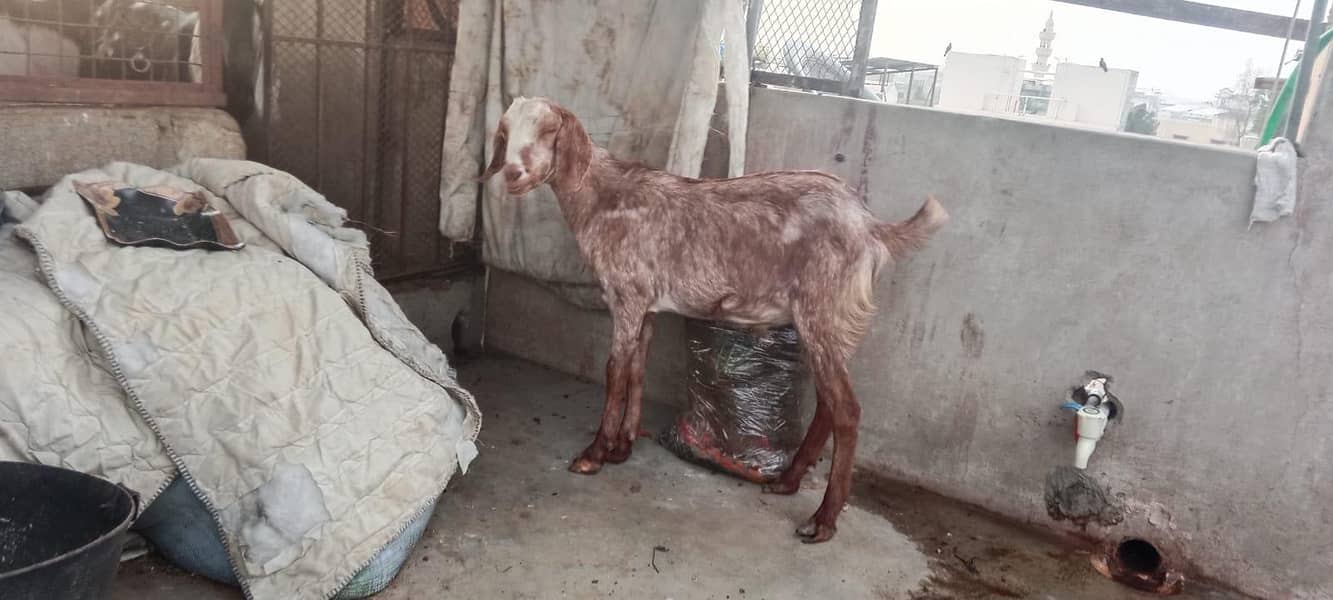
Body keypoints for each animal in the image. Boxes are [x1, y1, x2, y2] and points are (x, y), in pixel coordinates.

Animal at [482, 97, 948, 542]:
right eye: (504, 132)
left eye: (548, 129)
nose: (513, 173)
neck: (601, 196)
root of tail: (871, 226)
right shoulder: (646, 304)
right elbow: (636, 369)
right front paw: (622, 447)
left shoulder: (627, 294)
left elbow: (614, 371)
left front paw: (594, 454)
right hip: (827, 323)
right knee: (828, 406)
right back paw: (788, 480)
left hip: (824, 309)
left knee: (847, 409)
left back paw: (822, 520)